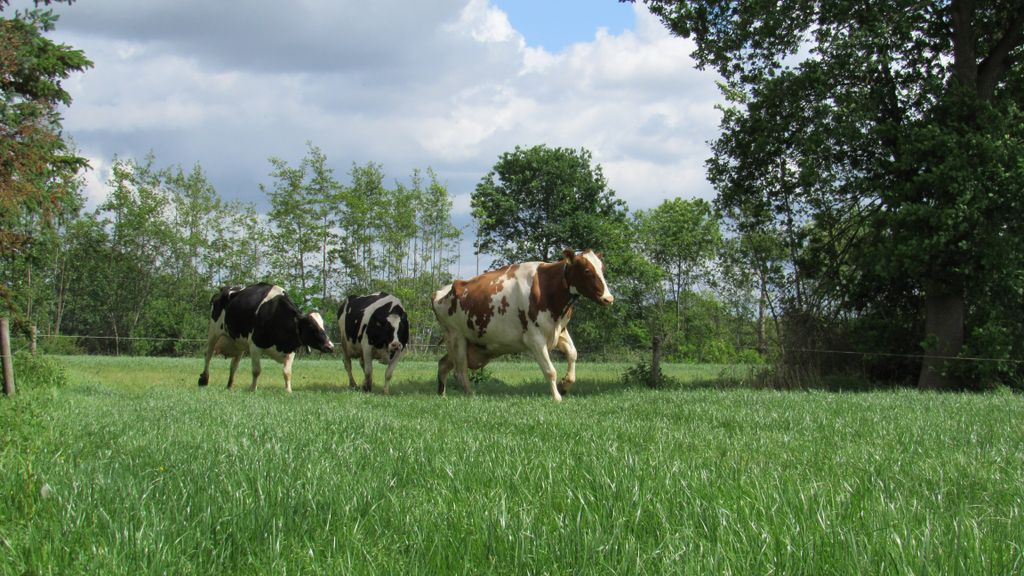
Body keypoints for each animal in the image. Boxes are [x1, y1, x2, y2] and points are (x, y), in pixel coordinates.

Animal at [197, 283, 334, 393]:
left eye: (323, 326)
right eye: (311, 326)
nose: (330, 346)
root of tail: (225, 288)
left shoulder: (291, 350)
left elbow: (287, 372)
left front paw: (288, 390)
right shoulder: (255, 346)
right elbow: (256, 370)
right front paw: (253, 389)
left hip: (239, 343)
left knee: (234, 364)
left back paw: (230, 386)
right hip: (213, 332)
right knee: (208, 355)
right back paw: (204, 380)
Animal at [432, 249, 613, 402]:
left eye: (602, 269)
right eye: (587, 271)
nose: (609, 298)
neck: (548, 288)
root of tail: (440, 292)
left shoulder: (559, 330)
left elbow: (573, 354)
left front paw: (564, 385)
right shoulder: (535, 339)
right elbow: (550, 371)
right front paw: (557, 398)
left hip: (469, 345)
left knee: (443, 364)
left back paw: (442, 394)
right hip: (456, 337)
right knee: (460, 371)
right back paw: (471, 395)